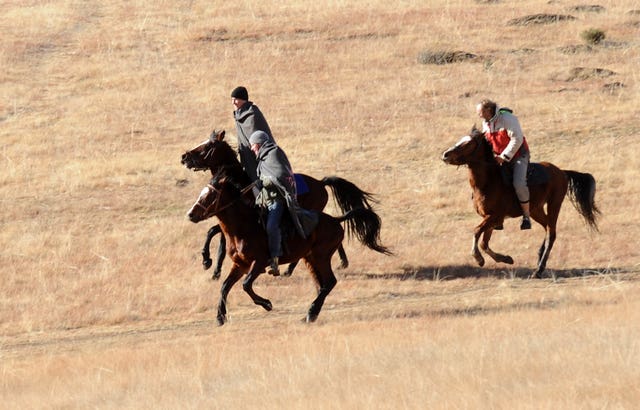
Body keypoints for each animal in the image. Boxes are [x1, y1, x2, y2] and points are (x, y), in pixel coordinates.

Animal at [181, 129, 376, 278]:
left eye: (207, 146)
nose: (184, 157)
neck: (239, 183)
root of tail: (321, 183)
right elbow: (216, 236)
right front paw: (213, 268)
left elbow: (213, 233)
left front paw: (208, 263)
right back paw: (342, 261)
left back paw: (290, 269)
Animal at [188, 168, 392, 326]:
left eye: (210, 195)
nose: (191, 214)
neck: (244, 228)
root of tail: (336, 220)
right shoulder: (241, 265)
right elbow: (224, 286)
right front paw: (220, 317)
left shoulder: (259, 263)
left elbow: (246, 285)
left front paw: (266, 304)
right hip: (309, 259)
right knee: (321, 285)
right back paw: (311, 313)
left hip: (321, 256)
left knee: (330, 282)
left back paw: (311, 312)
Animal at [440, 126, 600, 278]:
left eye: (468, 143)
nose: (445, 155)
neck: (488, 182)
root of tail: (562, 172)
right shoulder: (490, 219)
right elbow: (484, 243)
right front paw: (506, 259)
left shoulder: (494, 216)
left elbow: (476, 231)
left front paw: (478, 258)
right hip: (535, 210)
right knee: (547, 228)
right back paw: (539, 258)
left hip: (554, 204)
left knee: (551, 233)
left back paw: (539, 270)